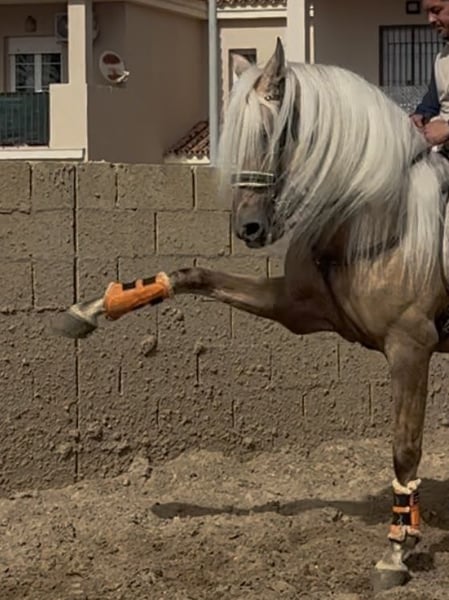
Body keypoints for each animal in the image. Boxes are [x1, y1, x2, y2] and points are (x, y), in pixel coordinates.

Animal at [54, 38, 449, 593]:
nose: (250, 228)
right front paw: (91, 309)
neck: (378, 222)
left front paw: (395, 551)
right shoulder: (297, 308)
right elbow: (194, 275)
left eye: (275, 133)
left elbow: (405, 448)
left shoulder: (411, 347)